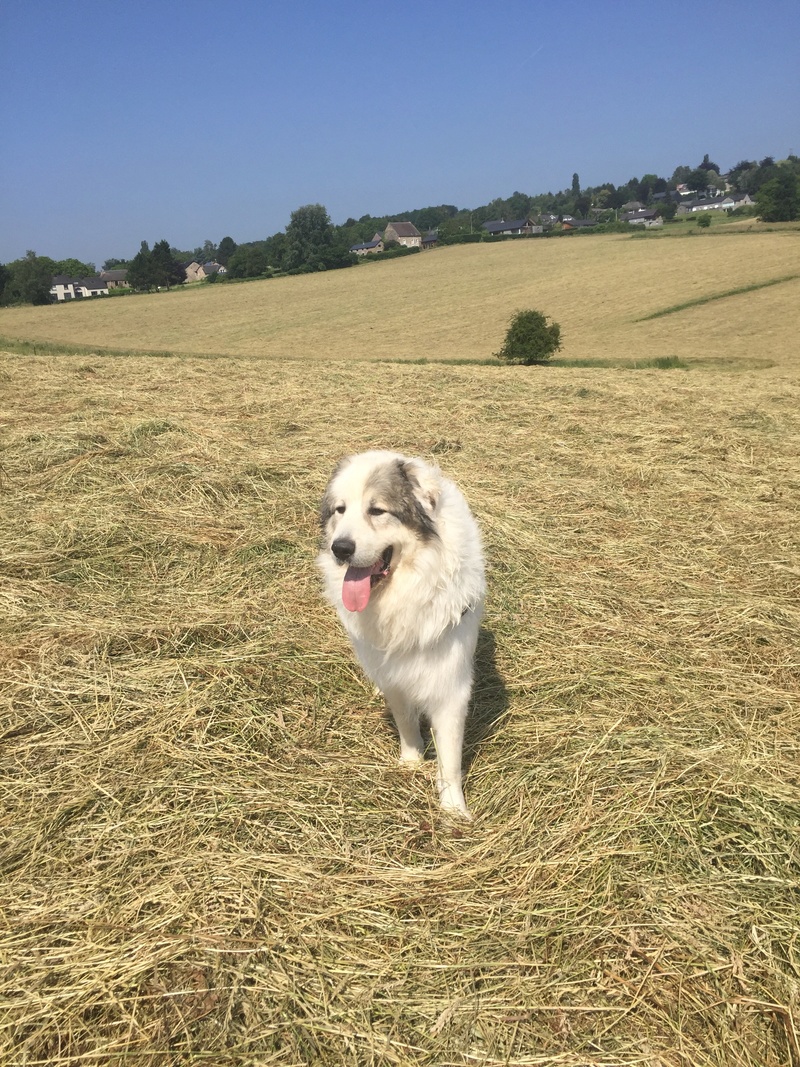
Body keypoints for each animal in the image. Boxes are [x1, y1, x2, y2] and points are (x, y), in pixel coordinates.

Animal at [315, 450, 486, 815]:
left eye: (377, 510)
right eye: (340, 510)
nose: (340, 549)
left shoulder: (449, 685)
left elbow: (450, 756)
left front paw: (453, 809)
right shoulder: (393, 673)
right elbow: (405, 720)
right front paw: (411, 762)